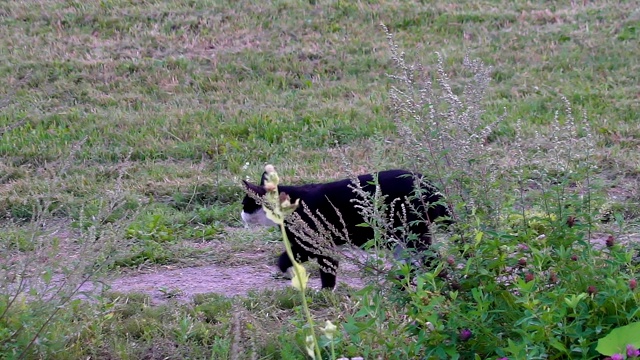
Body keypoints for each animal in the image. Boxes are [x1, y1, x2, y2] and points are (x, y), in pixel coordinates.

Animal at [242, 168, 452, 290]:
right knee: (410, 264)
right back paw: (401, 285)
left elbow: (288, 259)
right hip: (399, 240)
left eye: (245, 204)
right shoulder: (316, 246)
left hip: (412, 235)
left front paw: (322, 290)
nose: (241, 214)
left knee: (431, 260)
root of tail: (432, 187)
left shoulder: (316, 244)